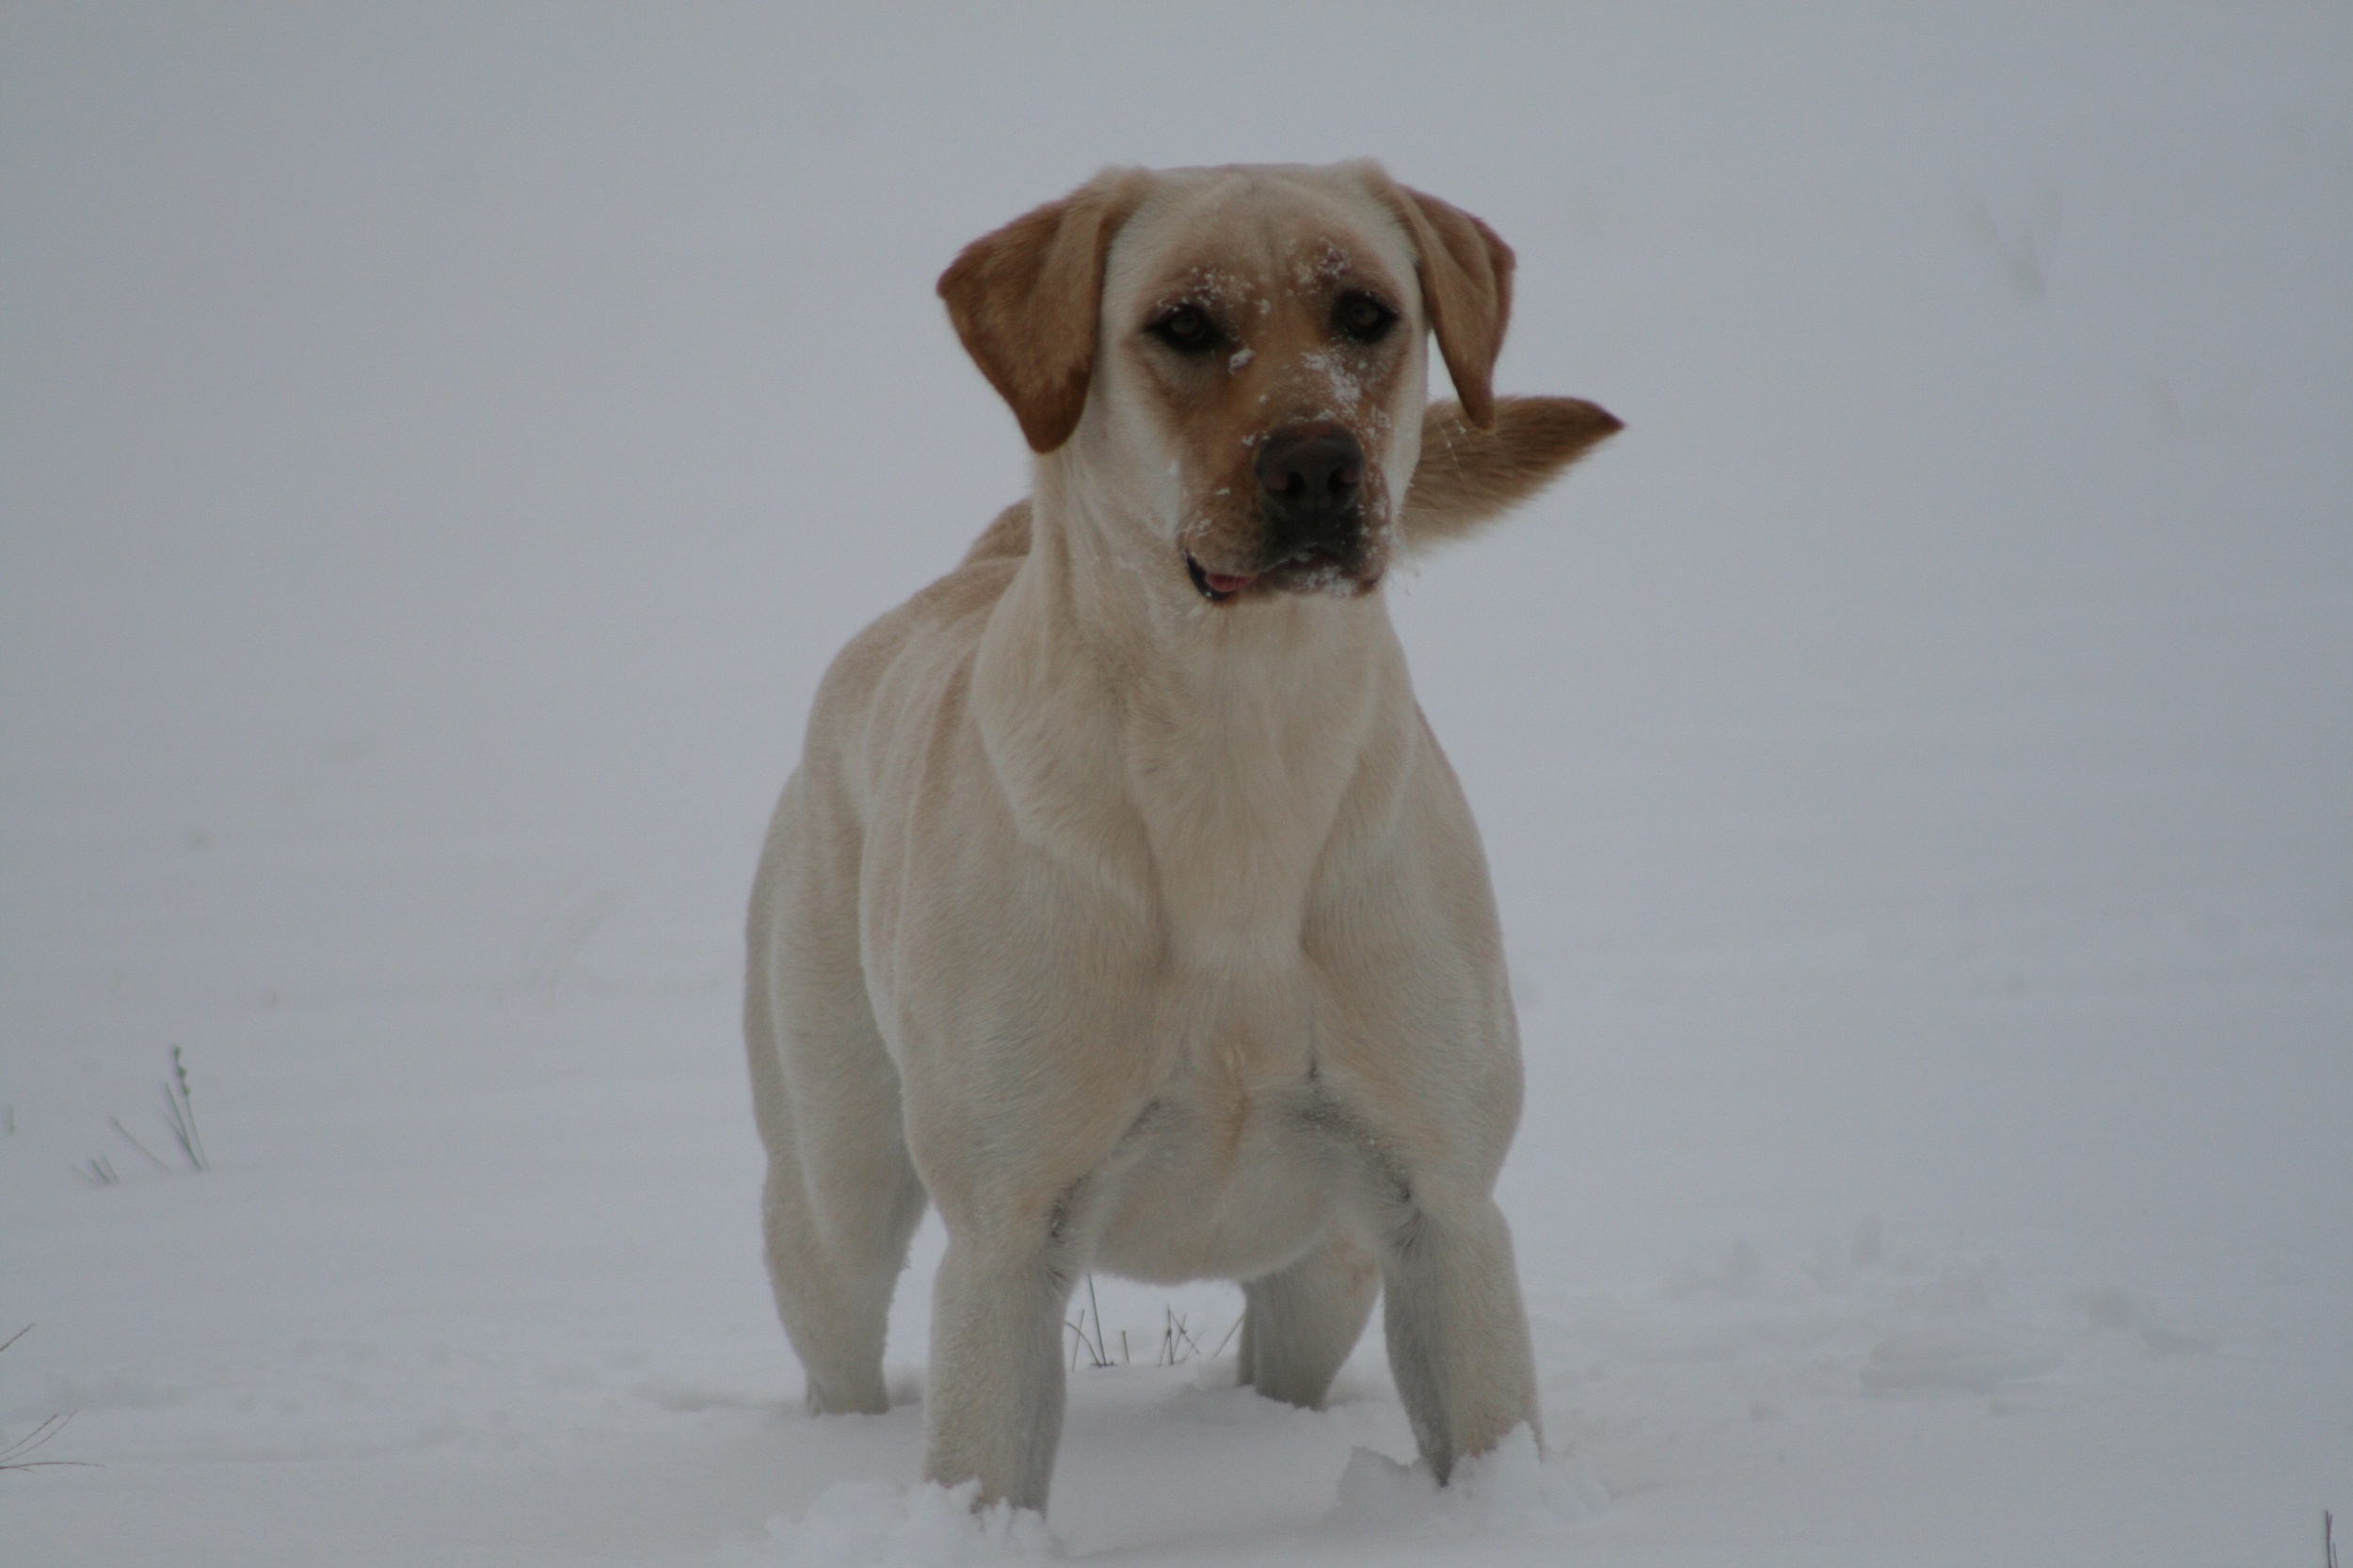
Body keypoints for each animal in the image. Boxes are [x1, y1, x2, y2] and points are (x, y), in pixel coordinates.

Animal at [748, 155, 1619, 1506]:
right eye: (1183, 325)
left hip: (1333, 1265)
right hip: (832, 1182)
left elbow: (1483, 1424)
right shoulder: (1007, 1235)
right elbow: (985, 1466)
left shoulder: (1444, 1203)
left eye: (1368, 313)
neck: (1236, 752)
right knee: (835, 1309)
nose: (1316, 465)